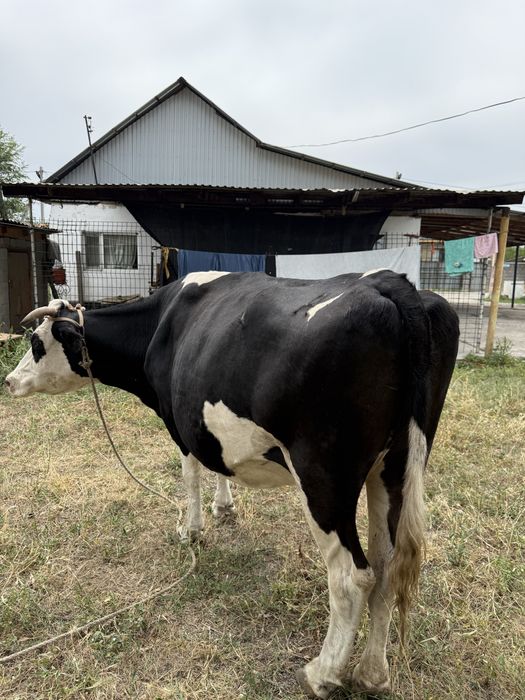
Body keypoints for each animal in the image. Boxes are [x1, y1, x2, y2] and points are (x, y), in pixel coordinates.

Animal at [5, 269, 459, 698]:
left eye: (37, 344)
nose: (8, 381)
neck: (159, 325)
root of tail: (391, 284)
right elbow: (217, 466)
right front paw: (224, 509)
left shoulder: (179, 420)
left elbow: (190, 474)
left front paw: (191, 531)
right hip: (395, 467)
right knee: (387, 566)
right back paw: (372, 675)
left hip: (324, 476)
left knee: (353, 576)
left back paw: (321, 675)